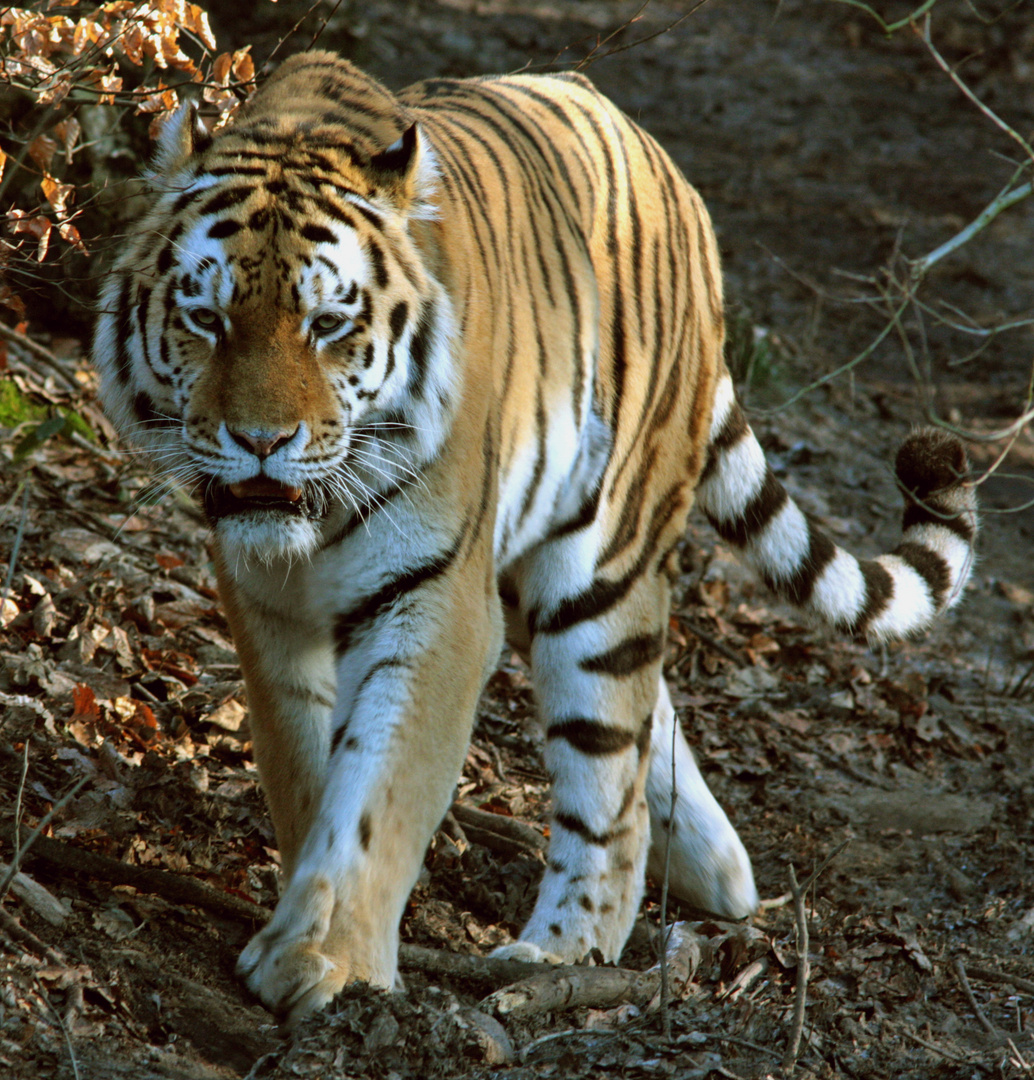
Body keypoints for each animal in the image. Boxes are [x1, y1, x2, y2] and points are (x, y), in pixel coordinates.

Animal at [90, 50, 976, 1023]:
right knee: (646, 723)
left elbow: (378, 792)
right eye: (206, 319)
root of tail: (670, 177)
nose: (260, 442)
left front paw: (329, 958)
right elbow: (304, 769)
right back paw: (719, 871)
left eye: (328, 326)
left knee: (611, 781)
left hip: (601, 561)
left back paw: (559, 951)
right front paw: (307, 915)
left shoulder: (436, 600)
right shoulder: (264, 600)